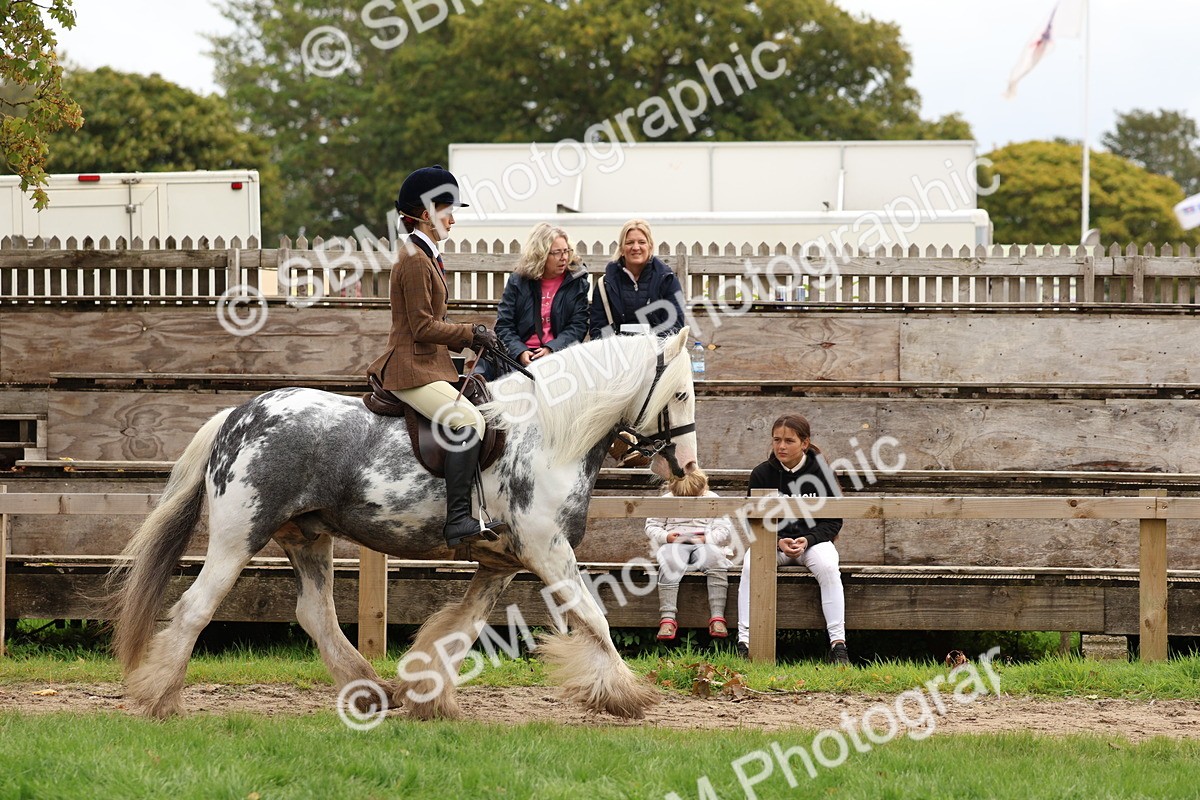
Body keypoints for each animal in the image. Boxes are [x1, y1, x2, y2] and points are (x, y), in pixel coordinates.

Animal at [107, 326, 699, 721]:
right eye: (681, 393)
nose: (687, 470)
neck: (549, 435)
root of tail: (237, 417)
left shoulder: (502, 563)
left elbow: (460, 629)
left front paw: (427, 696)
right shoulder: (548, 551)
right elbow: (594, 617)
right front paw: (628, 695)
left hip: (308, 537)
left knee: (315, 614)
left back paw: (371, 691)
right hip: (239, 536)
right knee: (194, 608)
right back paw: (160, 700)